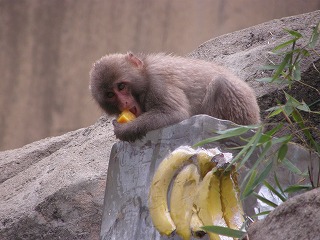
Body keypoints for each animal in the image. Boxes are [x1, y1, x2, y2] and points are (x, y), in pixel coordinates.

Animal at [89, 52, 260, 142]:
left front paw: (124, 130)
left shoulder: (159, 83)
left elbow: (175, 114)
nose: (124, 103)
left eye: (121, 86)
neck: (145, 77)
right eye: (110, 94)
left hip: (244, 113)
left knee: (220, 84)